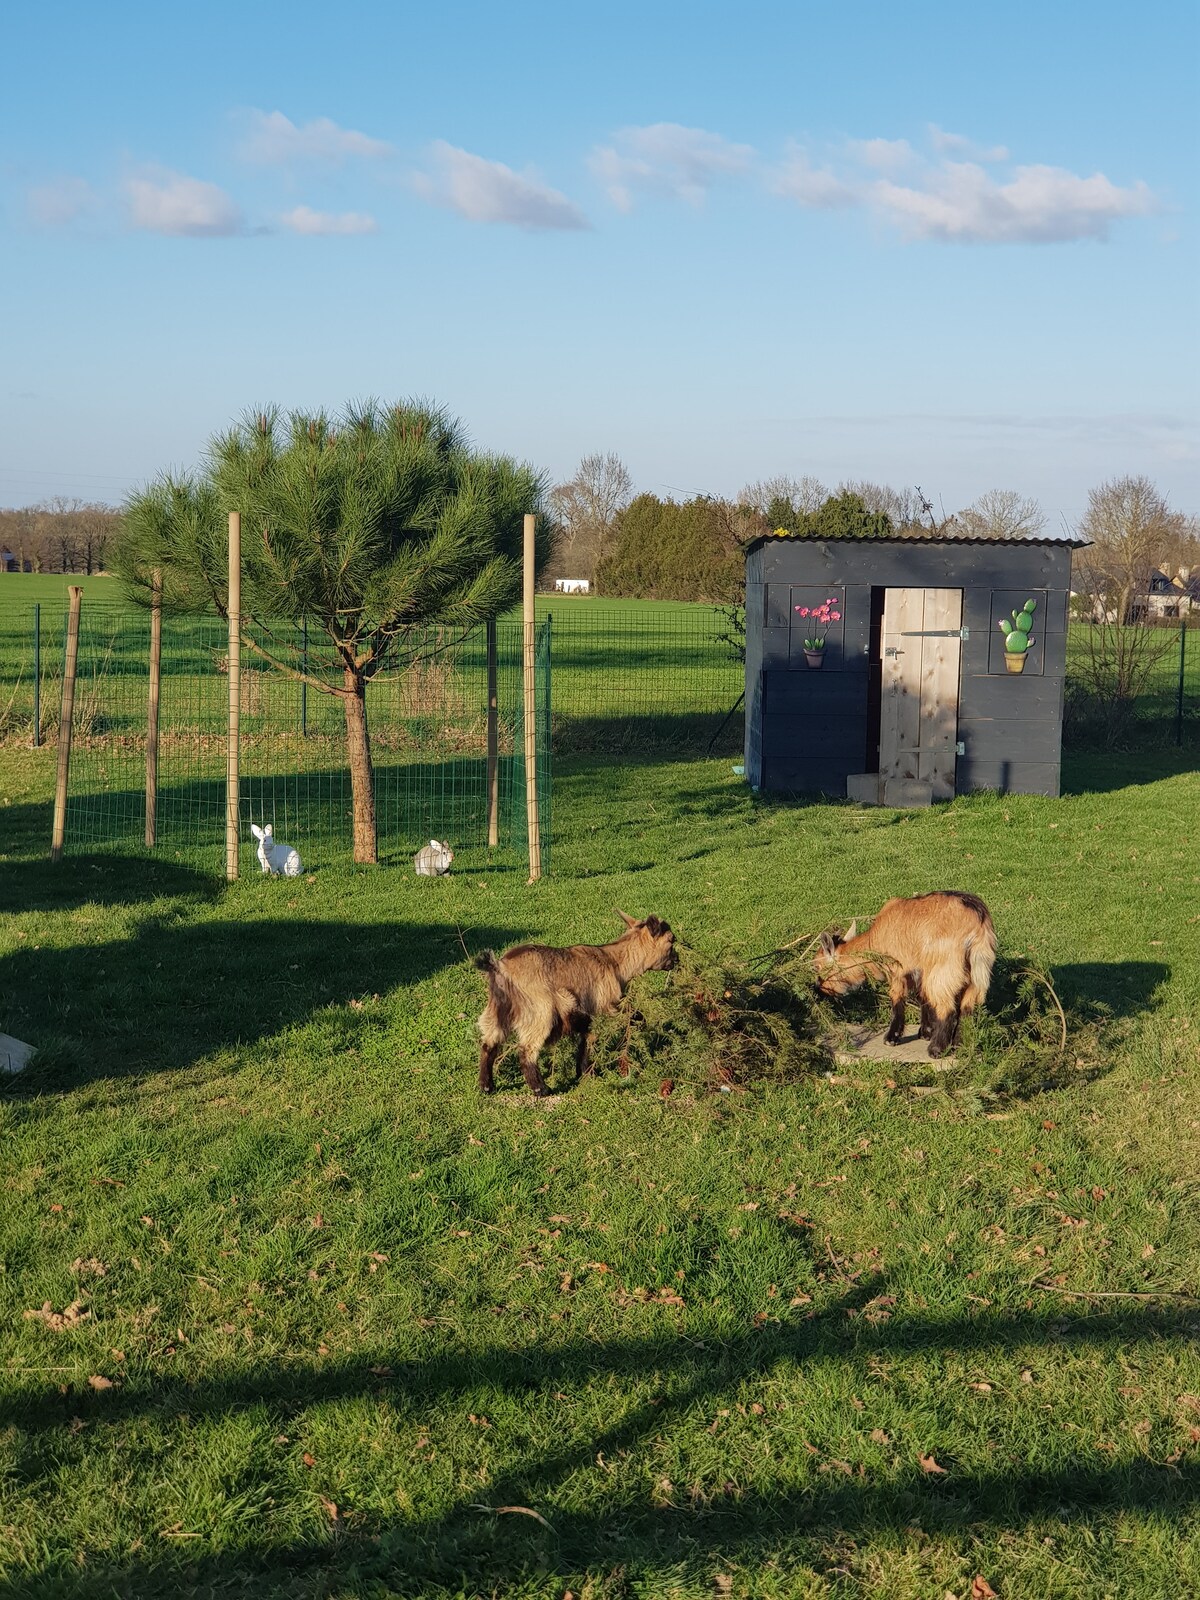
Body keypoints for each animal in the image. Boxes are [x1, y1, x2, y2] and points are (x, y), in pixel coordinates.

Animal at [476, 912, 677, 1096]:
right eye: (671, 941)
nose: (677, 960)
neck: (615, 962)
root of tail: (499, 967)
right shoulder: (603, 1007)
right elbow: (596, 1035)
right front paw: (588, 1073)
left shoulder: (587, 1013)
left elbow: (585, 1039)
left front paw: (582, 1072)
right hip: (540, 1010)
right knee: (527, 1049)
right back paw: (541, 1089)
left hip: (498, 1009)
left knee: (489, 1044)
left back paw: (487, 1086)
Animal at [814, 891, 996, 1058]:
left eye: (817, 967)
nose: (817, 991)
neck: (874, 939)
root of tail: (978, 923)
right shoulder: (920, 968)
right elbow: (922, 996)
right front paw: (926, 1032)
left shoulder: (897, 970)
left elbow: (897, 998)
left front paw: (891, 1038)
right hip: (975, 971)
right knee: (967, 1009)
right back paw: (959, 1046)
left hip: (943, 968)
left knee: (947, 1008)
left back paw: (937, 1049)